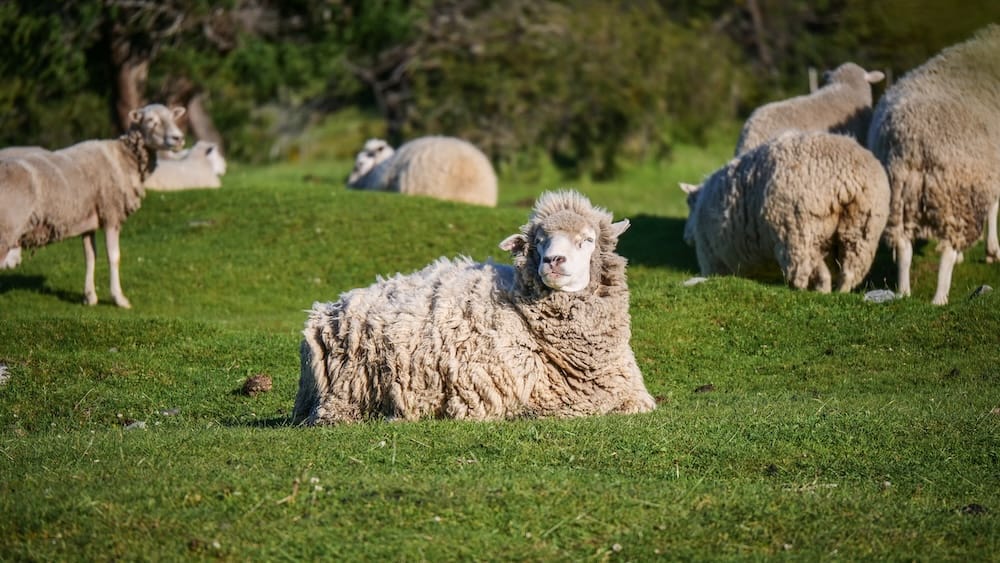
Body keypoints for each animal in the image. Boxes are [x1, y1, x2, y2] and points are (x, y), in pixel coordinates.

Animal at [0, 104, 186, 308]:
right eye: (151, 120)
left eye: (173, 118)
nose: (178, 138)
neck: (124, 157)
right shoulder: (111, 212)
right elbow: (114, 256)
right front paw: (119, 298)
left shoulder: (88, 221)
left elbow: (90, 256)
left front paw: (89, 296)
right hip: (6, 229)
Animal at [292, 189, 656, 425]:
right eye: (538, 242)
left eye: (588, 240)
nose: (553, 261)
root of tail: (327, 310)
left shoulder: (632, 394)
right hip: (344, 395)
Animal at [681, 131, 890, 293]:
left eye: (688, 205)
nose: (686, 237)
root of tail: (847, 180)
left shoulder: (711, 258)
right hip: (862, 229)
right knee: (848, 269)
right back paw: (839, 292)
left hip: (797, 231)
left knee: (808, 269)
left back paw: (811, 290)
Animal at [866, 24, 1000, 305]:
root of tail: (915, 140)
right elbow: (995, 206)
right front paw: (993, 251)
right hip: (955, 194)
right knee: (947, 248)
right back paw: (940, 297)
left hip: (896, 192)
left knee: (903, 245)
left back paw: (904, 291)